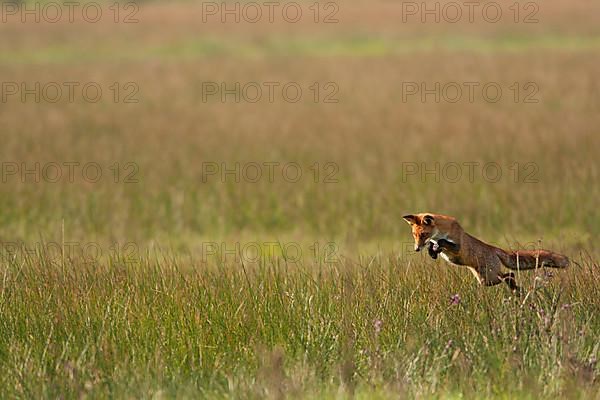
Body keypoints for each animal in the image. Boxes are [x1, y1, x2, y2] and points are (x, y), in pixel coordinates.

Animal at [404, 212, 568, 290]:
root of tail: (494, 249)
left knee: (510, 274)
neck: (440, 232)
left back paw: (516, 289)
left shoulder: (457, 246)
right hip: (485, 280)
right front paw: (433, 252)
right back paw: (516, 290)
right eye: (414, 235)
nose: (416, 249)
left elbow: (444, 242)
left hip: (489, 278)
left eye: (423, 235)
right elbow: (433, 248)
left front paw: (439, 245)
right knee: (508, 276)